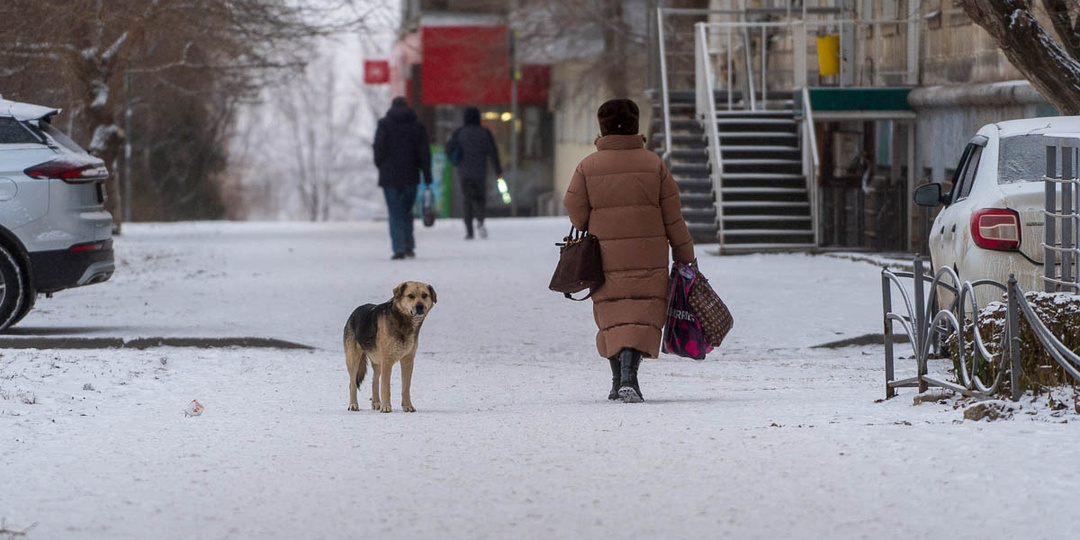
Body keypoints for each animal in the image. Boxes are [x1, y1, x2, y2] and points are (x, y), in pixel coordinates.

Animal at [341, 280, 434, 410]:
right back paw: (353, 404)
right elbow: (386, 387)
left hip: (377, 361)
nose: (420, 306)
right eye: (411, 296)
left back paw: (376, 402)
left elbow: (406, 387)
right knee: (352, 383)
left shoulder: (408, 361)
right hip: (353, 359)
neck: (403, 321)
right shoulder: (387, 360)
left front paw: (407, 406)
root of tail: (354, 312)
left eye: (424, 295)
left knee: (374, 380)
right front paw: (386, 408)